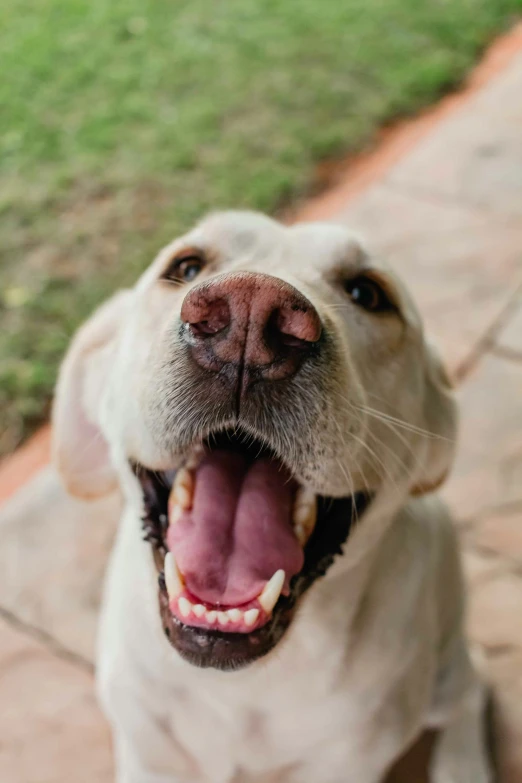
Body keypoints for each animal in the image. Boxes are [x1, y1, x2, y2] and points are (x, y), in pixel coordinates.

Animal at [50, 211, 490, 780]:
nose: (249, 314)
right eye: (185, 266)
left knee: (473, 687)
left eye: (367, 292)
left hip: (445, 670)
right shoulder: (146, 751)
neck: (242, 683)